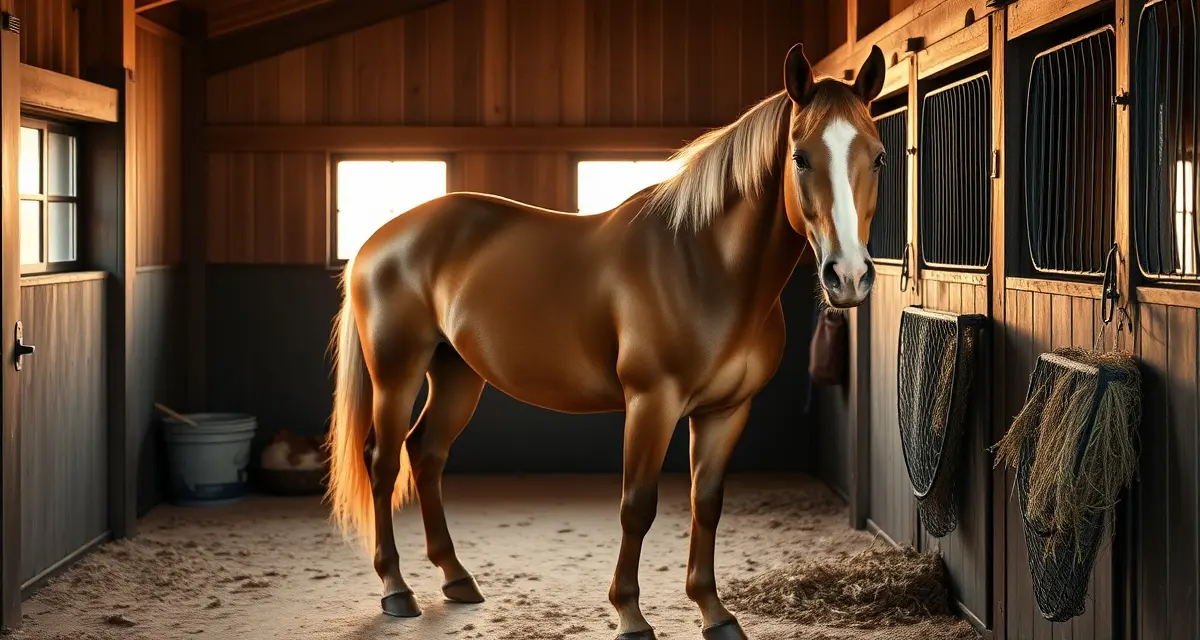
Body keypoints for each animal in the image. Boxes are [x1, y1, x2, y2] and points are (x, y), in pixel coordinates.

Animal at [325, 41, 887, 640]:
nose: (848, 277)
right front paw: (631, 615)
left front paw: (714, 613)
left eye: (878, 157)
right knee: (384, 461)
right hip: (397, 373)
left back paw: (456, 579)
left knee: (426, 454)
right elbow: (636, 505)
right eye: (800, 157)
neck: (704, 265)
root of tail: (378, 241)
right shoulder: (651, 402)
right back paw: (396, 590)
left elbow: (707, 503)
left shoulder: (727, 410)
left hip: (456, 373)